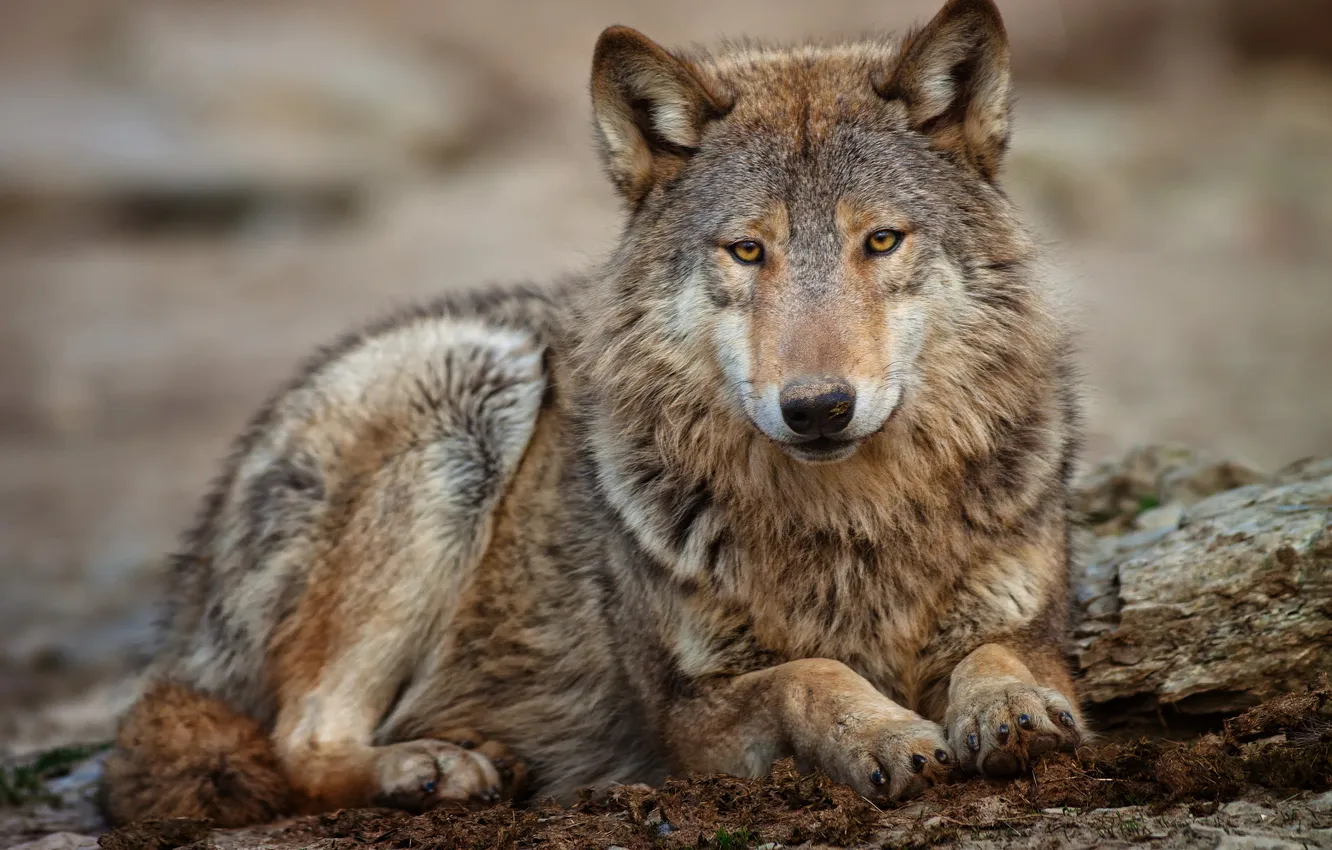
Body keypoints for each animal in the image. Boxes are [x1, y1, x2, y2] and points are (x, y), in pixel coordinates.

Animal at [100, 0, 1084, 828]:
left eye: (880, 240)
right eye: (747, 251)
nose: (817, 408)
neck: (851, 527)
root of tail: (191, 587)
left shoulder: (1031, 626)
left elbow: (997, 656)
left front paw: (1014, 711)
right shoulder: (690, 719)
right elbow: (811, 673)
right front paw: (884, 733)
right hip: (472, 393)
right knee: (295, 742)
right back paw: (437, 767)